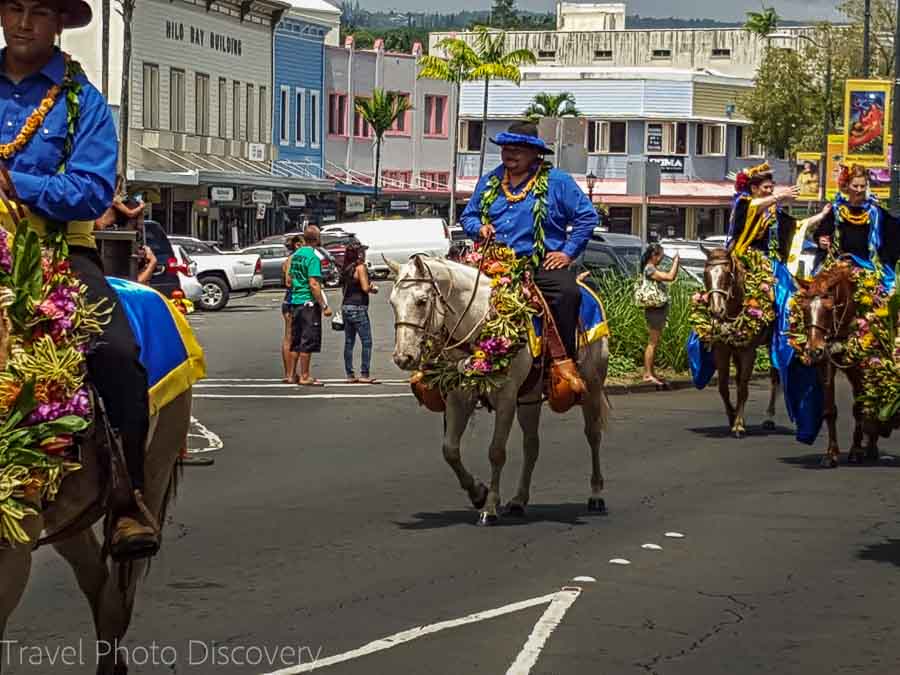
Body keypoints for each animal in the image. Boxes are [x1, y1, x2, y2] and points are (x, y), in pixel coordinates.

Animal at [388, 256, 612, 524]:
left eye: (421, 301)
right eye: (392, 303)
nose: (403, 357)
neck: (479, 321)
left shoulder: (506, 398)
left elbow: (496, 451)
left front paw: (490, 508)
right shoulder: (459, 397)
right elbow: (450, 450)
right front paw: (478, 493)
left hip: (592, 386)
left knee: (593, 435)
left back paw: (596, 494)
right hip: (530, 397)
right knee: (532, 445)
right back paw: (519, 500)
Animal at [704, 248, 780, 438]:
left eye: (727, 275)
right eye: (705, 274)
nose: (716, 311)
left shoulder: (748, 352)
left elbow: (744, 388)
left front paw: (738, 425)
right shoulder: (722, 350)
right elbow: (724, 387)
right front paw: (733, 418)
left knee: (775, 377)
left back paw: (769, 417)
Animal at [796, 262, 884, 468]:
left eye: (829, 308)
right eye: (804, 308)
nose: (814, 350)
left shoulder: (860, 368)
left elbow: (859, 408)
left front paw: (856, 451)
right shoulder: (826, 364)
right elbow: (829, 410)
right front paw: (831, 454)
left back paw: (871, 447)